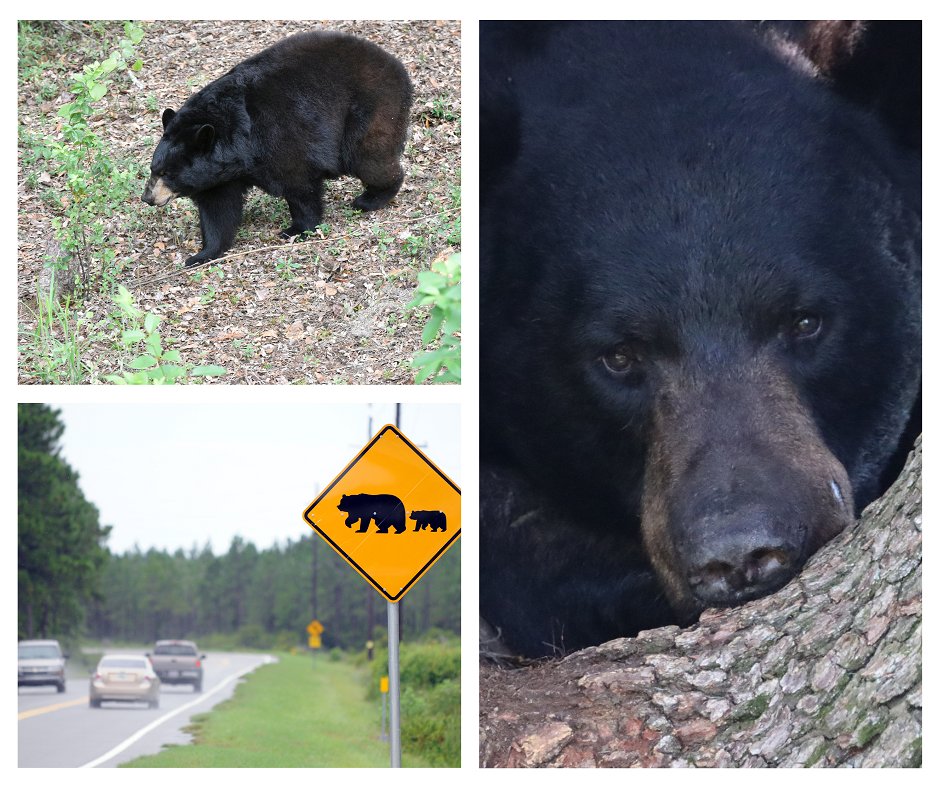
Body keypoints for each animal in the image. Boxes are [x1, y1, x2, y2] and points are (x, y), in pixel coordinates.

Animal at [141, 30, 413, 267]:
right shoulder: (219, 175)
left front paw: (297, 229)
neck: (239, 141)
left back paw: (371, 198)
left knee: (368, 158)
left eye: (167, 173)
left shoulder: (280, 138)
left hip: (371, 109)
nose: (147, 198)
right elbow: (218, 210)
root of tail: (397, 66)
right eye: (154, 169)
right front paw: (201, 254)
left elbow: (300, 185)